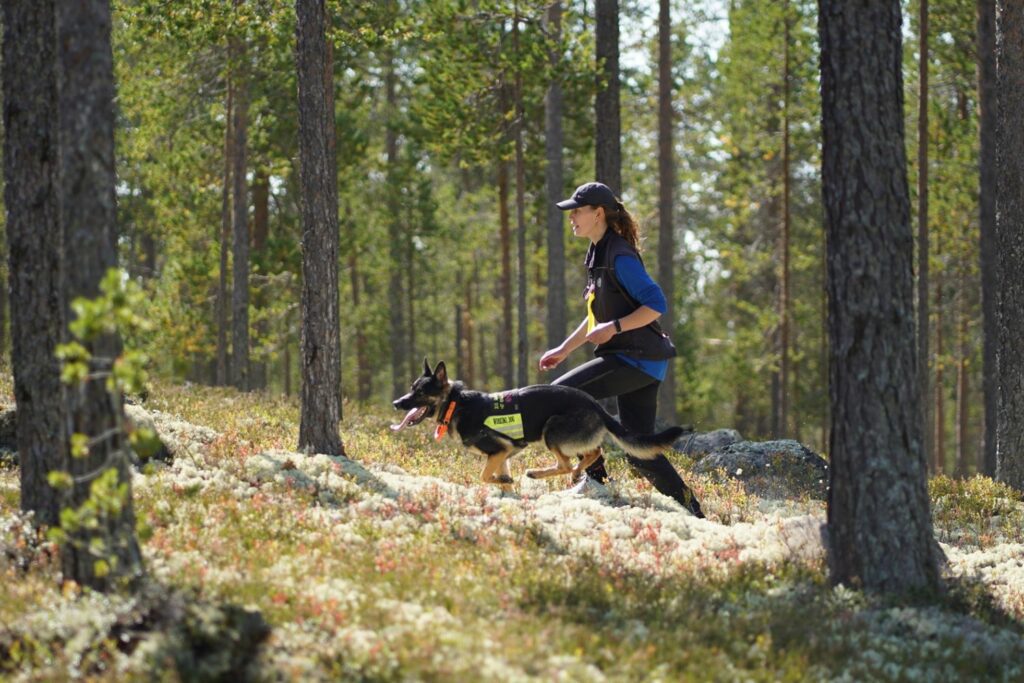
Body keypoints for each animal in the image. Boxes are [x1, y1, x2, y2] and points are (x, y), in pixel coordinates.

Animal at [389, 360, 696, 509]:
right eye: (412, 388)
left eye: (420, 392)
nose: (396, 403)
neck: (455, 403)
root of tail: (593, 403)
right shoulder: (503, 456)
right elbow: (498, 481)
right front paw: (507, 491)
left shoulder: (499, 451)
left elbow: (484, 476)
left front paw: (504, 480)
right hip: (569, 438)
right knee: (593, 452)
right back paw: (576, 474)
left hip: (551, 431)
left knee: (566, 463)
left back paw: (538, 473)